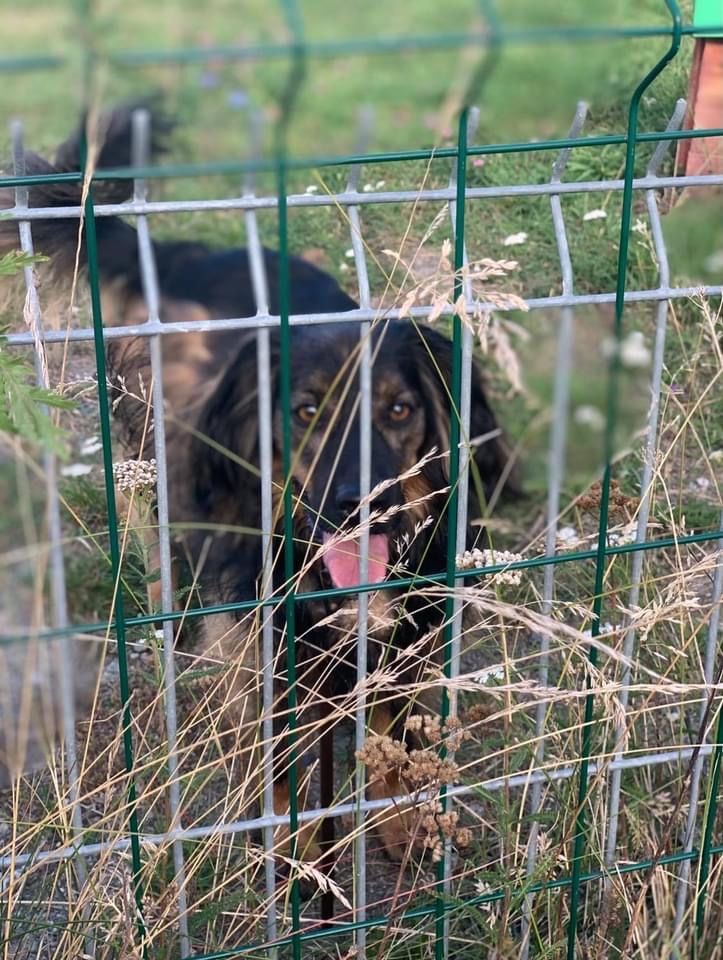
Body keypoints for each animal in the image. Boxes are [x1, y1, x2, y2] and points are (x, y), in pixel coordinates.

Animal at [1, 107, 520, 864]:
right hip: (149, 454)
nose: (364, 503)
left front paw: (402, 821)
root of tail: (175, 252)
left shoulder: (403, 642)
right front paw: (293, 855)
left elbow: (391, 735)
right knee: (152, 528)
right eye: (303, 412)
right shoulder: (263, 656)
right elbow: (280, 772)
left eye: (400, 409)